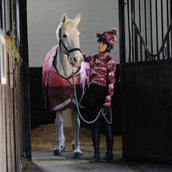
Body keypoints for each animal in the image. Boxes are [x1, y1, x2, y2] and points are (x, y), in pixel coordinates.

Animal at [42, 13, 88, 159]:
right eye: (64, 35)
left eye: (79, 35)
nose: (77, 59)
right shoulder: (57, 101)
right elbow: (59, 122)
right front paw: (57, 147)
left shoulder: (77, 101)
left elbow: (77, 123)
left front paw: (77, 149)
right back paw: (61, 143)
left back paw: (73, 144)